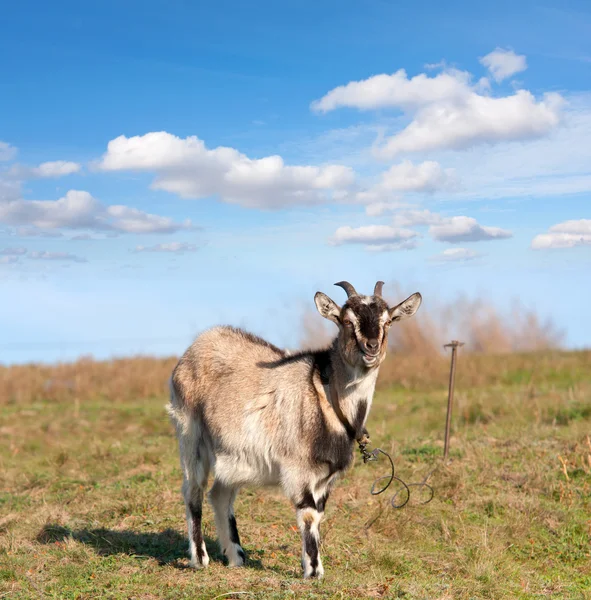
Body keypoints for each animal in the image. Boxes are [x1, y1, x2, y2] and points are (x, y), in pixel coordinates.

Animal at [166, 284, 420, 580]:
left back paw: (237, 557)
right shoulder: (298, 468)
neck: (327, 394)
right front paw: (313, 571)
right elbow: (309, 513)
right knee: (193, 490)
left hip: (232, 453)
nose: (371, 347)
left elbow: (319, 514)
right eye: (347, 321)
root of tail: (199, 343)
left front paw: (312, 564)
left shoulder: (325, 476)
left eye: (388, 322)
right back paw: (200, 558)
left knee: (219, 495)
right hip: (189, 431)